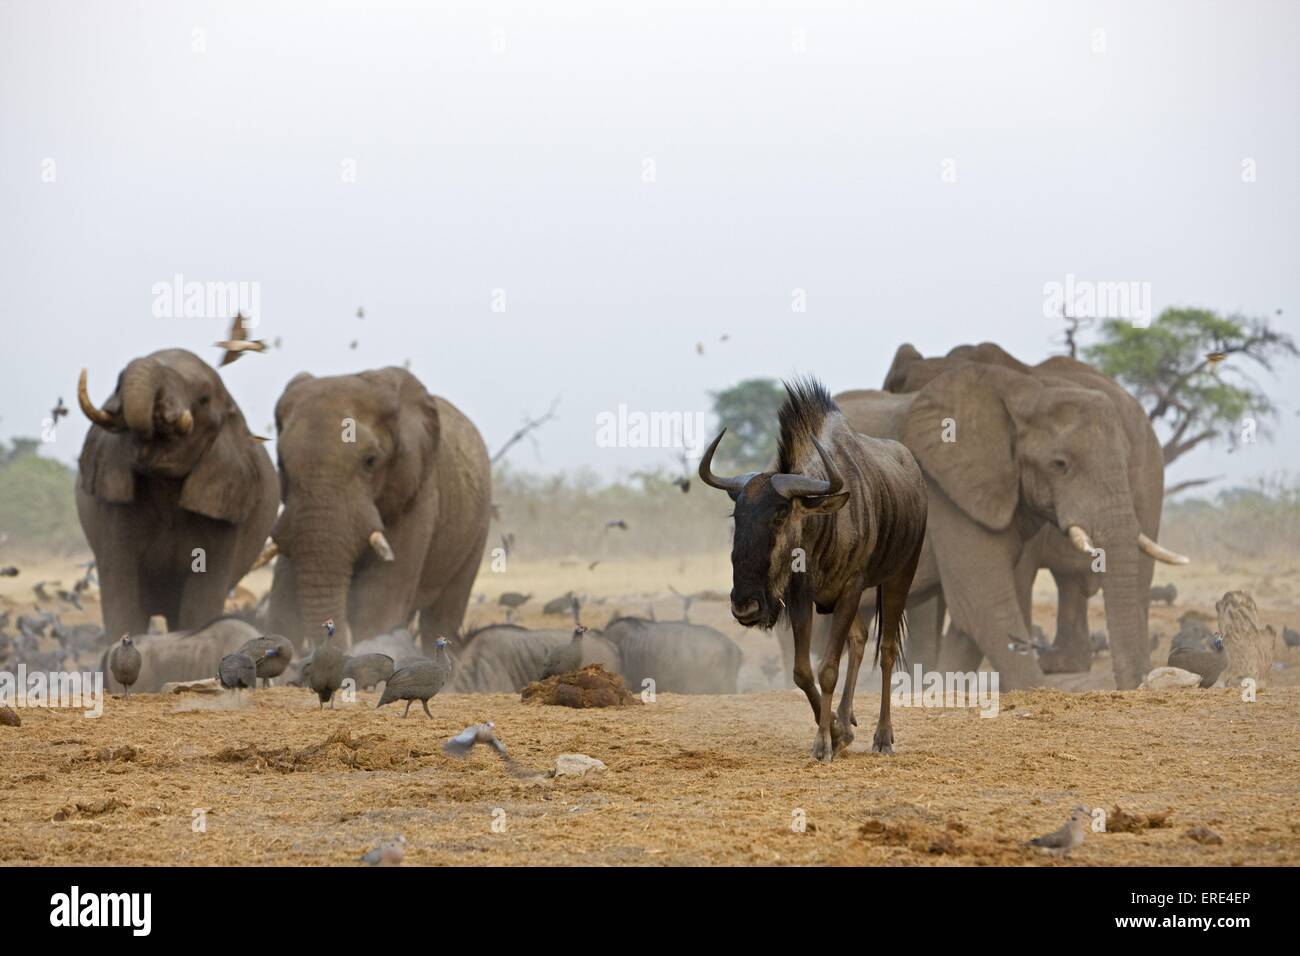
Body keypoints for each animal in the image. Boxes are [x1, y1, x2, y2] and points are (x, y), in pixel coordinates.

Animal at [76, 348, 279, 639]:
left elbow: (200, 603)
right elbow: (122, 595)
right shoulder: (112, 508)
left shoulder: (225, 508)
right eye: (118, 383)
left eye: (203, 399)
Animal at [263, 366, 491, 650]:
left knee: (441, 618)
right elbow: (283, 600)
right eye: (280, 463)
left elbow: (376, 603)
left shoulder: (418, 495)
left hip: (477, 531)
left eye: (370, 461)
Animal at [837, 351, 1185, 686]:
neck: (1020, 393)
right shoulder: (945, 489)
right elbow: (983, 602)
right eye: (1059, 464)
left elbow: (977, 609)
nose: (1140, 684)